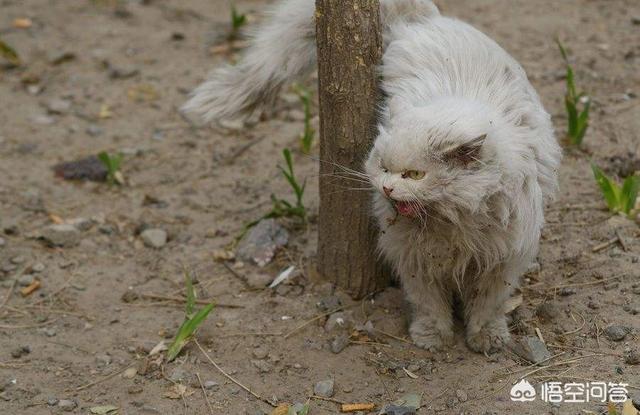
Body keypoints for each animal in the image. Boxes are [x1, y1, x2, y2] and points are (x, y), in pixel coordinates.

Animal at [182, 0, 564, 352]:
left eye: (414, 174)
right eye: (383, 167)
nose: (387, 187)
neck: (453, 224)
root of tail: (427, 20)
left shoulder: (502, 259)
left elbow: (488, 305)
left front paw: (487, 338)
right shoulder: (412, 257)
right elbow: (428, 302)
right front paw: (432, 337)